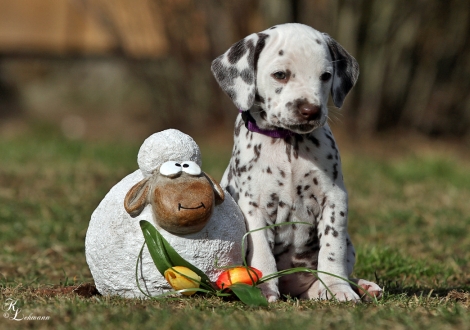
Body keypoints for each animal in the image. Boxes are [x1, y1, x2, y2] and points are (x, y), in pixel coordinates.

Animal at [212, 22, 382, 302]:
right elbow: (262, 255)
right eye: (280, 74)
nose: (310, 110)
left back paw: (359, 286)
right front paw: (264, 290)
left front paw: (338, 288)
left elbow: (332, 251)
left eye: (325, 76)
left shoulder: (334, 199)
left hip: (350, 245)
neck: (288, 143)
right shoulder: (253, 207)